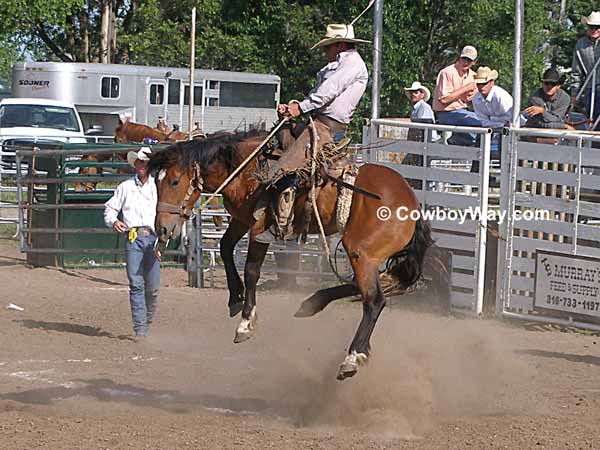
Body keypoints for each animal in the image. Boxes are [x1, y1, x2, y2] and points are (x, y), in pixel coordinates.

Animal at [148, 126, 434, 380]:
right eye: (156, 183)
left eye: (174, 181)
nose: (162, 228)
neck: (246, 168)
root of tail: (412, 205)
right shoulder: (242, 220)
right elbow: (225, 248)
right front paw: (234, 298)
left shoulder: (259, 227)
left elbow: (252, 270)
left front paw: (245, 322)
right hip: (365, 257)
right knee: (363, 286)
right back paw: (312, 303)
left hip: (361, 253)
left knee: (374, 301)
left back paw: (352, 358)